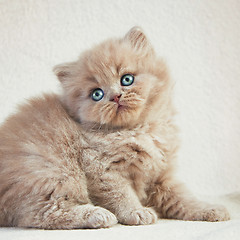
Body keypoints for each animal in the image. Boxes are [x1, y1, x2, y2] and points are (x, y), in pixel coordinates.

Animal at [0, 26, 230, 229]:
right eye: (97, 94)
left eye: (126, 79)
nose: (115, 96)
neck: (139, 130)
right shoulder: (102, 168)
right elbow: (120, 194)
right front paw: (136, 212)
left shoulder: (162, 175)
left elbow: (183, 199)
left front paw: (211, 210)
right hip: (52, 171)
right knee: (39, 214)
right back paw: (98, 215)